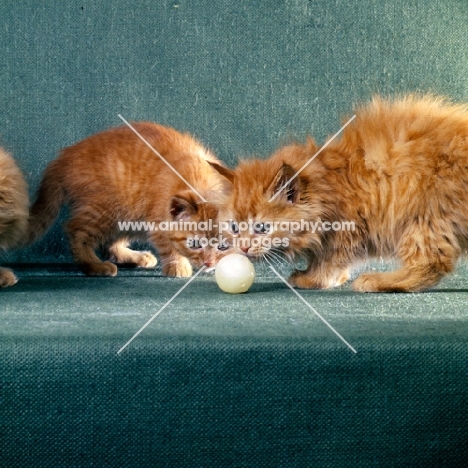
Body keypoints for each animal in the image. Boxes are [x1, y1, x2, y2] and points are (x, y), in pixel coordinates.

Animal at [27, 122, 230, 276]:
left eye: (222, 246)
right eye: (195, 244)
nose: (209, 263)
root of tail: (64, 156)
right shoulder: (157, 220)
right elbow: (168, 245)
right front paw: (178, 266)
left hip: (126, 216)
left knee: (111, 243)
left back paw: (134, 257)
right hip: (106, 208)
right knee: (76, 230)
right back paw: (93, 265)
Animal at [213, 94, 468, 292]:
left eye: (261, 228)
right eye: (234, 227)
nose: (244, 247)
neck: (328, 185)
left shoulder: (347, 229)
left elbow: (329, 260)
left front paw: (313, 278)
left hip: (427, 219)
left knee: (431, 263)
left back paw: (379, 281)